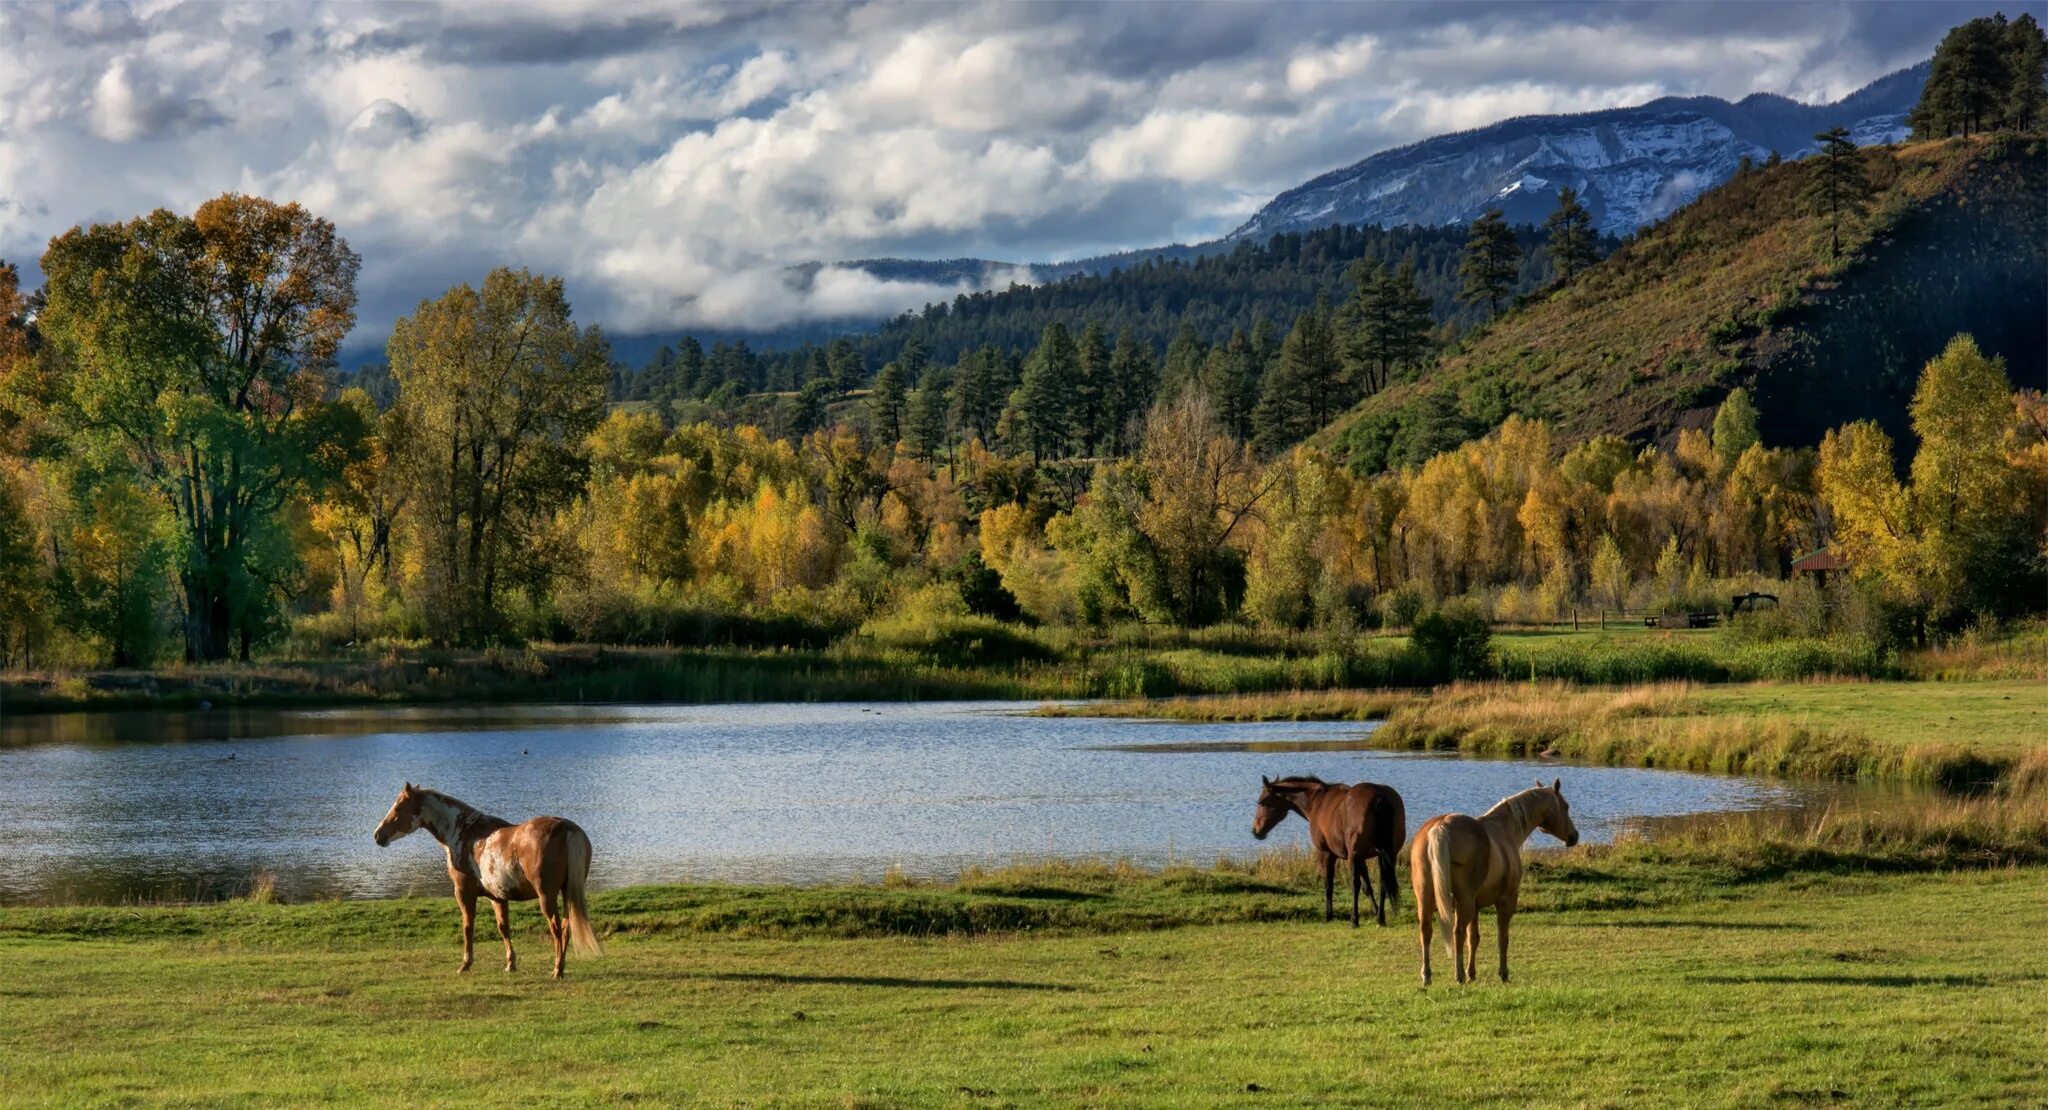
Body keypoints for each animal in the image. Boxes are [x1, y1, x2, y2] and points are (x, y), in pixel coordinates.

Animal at [370, 786, 598, 978]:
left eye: (398, 807)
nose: (378, 835)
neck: (464, 832)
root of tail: (567, 828)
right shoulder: (497, 897)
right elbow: (503, 928)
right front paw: (510, 964)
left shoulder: (463, 892)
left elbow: (467, 927)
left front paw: (465, 964)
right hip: (567, 892)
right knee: (567, 927)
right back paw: (561, 966)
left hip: (546, 895)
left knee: (556, 928)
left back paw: (557, 969)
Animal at [1245, 774, 1409, 929]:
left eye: (1261, 802)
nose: (1255, 831)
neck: (1318, 802)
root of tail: (1379, 796)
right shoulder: (1362, 857)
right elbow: (1367, 886)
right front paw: (1375, 911)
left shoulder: (1326, 853)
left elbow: (1328, 884)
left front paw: (1328, 915)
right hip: (1387, 855)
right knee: (1383, 882)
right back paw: (1381, 919)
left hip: (1355, 855)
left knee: (1355, 884)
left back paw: (1354, 920)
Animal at [1409, 778, 1581, 987]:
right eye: (1566, 806)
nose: (1574, 836)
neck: (1504, 830)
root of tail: (1440, 827)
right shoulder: (1506, 900)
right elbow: (1502, 938)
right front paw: (1502, 974)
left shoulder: (1475, 906)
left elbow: (1473, 938)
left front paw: (1472, 973)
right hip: (1464, 901)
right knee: (1457, 932)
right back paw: (1458, 976)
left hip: (1427, 897)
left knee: (1426, 931)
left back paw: (1427, 976)